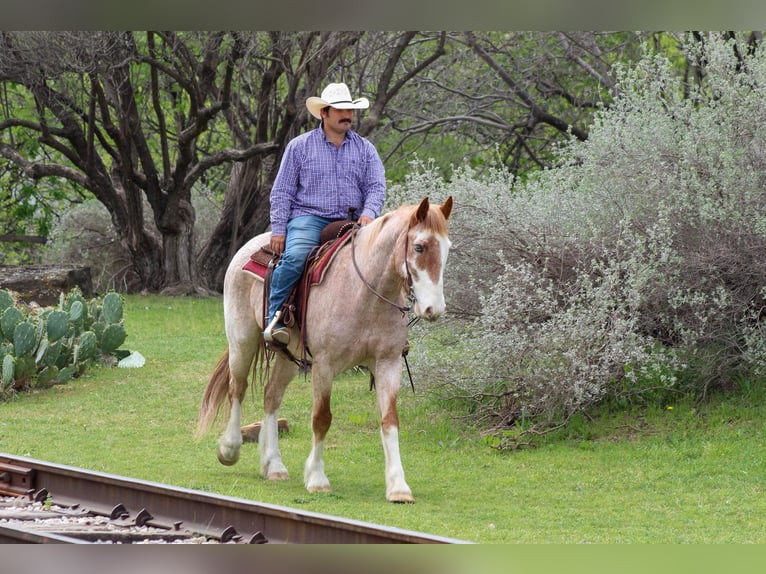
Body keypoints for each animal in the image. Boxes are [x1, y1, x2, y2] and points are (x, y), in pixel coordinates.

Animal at [196, 196, 453, 503]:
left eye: (447, 248)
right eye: (419, 247)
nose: (434, 309)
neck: (365, 295)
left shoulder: (388, 363)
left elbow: (390, 420)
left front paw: (398, 486)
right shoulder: (324, 364)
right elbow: (322, 418)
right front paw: (317, 478)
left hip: (289, 356)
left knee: (272, 395)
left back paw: (274, 465)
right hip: (242, 340)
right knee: (238, 387)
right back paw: (230, 449)